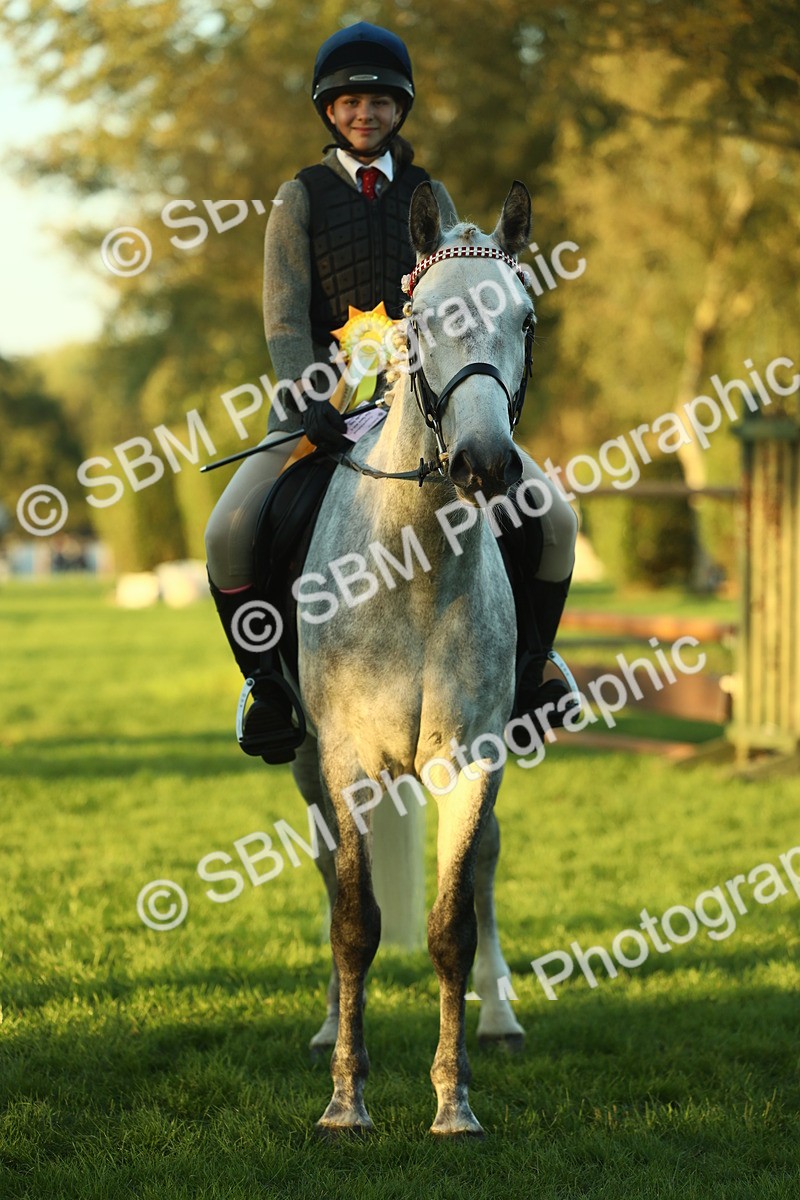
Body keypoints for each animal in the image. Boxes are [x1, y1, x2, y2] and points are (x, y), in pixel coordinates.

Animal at [288, 180, 535, 1137]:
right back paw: (328, 1028)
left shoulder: (474, 760)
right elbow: (356, 921)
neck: (415, 569)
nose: (485, 463)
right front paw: (345, 1101)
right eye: (423, 320)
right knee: (330, 878)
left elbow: (450, 925)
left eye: (527, 318)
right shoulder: (348, 759)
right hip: (307, 763)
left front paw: (453, 1102)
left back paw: (501, 1019)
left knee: (489, 868)